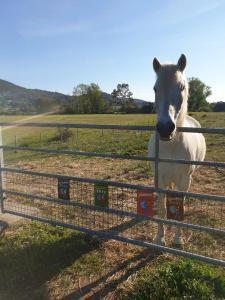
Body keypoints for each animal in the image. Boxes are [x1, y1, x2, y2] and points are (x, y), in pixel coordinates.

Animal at [149, 55, 207, 247]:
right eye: (155, 88)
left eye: (181, 87)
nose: (165, 128)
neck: (171, 146)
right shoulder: (159, 178)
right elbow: (162, 208)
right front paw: (160, 237)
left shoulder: (183, 180)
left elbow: (179, 208)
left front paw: (177, 239)